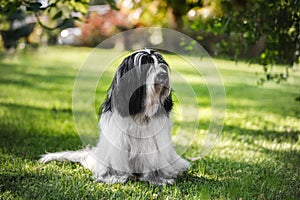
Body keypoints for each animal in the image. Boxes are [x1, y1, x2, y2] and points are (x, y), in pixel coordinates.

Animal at [39, 49, 190, 185]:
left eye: (161, 63)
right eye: (145, 64)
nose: (163, 75)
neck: (140, 113)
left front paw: (157, 178)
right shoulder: (118, 140)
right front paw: (113, 177)